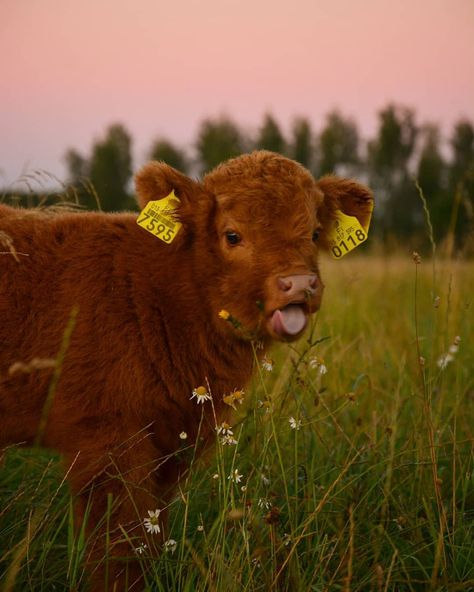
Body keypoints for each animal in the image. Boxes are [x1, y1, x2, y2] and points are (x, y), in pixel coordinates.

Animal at [0, 150, 374, 588]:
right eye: (232, 235)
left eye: (315, 233)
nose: (299, 284)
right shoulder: (107, 444)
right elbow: (118, 553)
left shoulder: (173, 447)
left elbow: (149, 538)